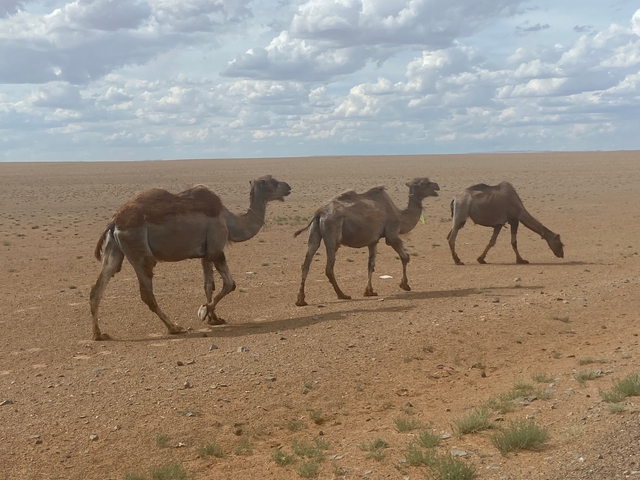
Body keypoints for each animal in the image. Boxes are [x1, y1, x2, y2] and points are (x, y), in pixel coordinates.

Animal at [89, 175, 291, 340]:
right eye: (272, 182)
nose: (288, 186)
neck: (230, 220)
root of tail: (114, 221)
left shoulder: (205, 254)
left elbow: (208, 285)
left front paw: (214, 318)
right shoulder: (216, 249)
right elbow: (230, 284)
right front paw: (203, 311)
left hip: (115, 249)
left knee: (98, 287)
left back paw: (99, 334)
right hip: (137, 247)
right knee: (147, 292)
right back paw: (174, 327)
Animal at [293, 178, 440, 306]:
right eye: (425, 183)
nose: (437, 186)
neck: (400, 215)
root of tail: (319, 213)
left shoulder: (373, 241)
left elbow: (371, 264)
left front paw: (369, 291)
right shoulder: (391, 235)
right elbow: (405, 257)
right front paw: (405, 285)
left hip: (314, 233)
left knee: (306, 263)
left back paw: (301, 300)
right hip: (332, 233)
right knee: (329, 267)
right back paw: (342, 294)